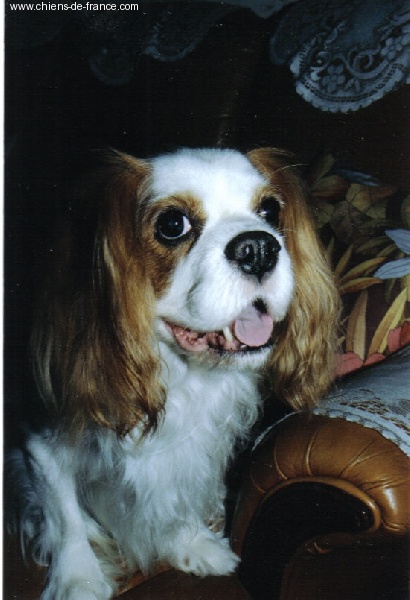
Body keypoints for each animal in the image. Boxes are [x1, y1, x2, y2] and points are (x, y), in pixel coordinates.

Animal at [6, 147, 339, 599]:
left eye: (270, 210)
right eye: (171, 225)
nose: (259, 248)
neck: (178, 374)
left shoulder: (191, 448)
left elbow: (176, 488)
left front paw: (190, 544)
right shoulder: (40, 441)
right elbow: (66, 515)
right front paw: (79, 579)